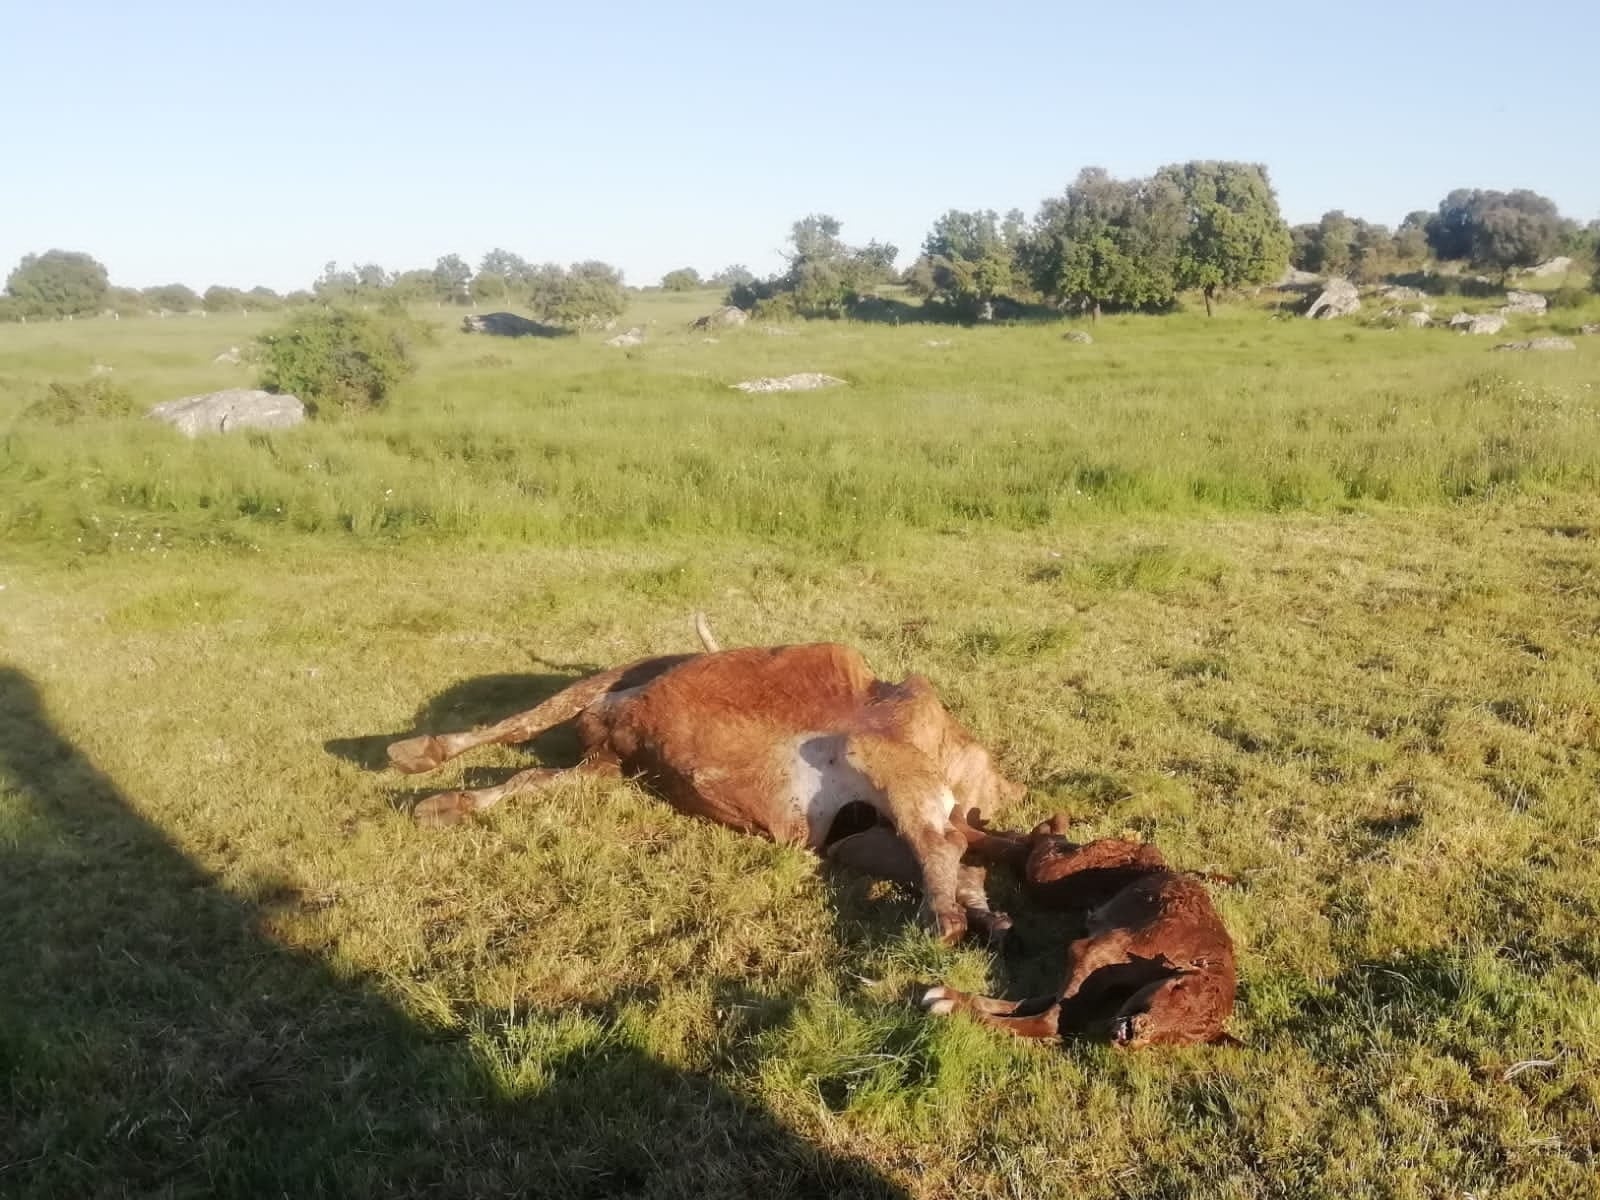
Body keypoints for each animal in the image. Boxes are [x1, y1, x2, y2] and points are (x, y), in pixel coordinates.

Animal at [384, 620, 1024, 947]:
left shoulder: (607, 697)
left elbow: (518, 725)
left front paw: (414, 756)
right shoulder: (608, 762)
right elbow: (529, 777)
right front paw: (444, 799)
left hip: (880, 761)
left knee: (942, 841)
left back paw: (943, 920)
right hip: (858, 835)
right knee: (959, 857)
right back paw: (983, 916)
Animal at [928, 819, 1235, 1049]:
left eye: (1178, 1037)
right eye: (1177, 988)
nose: (1138, 1032)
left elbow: (1038, 1003)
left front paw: (948, 998)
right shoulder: (1096, 950)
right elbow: (1052, 1018)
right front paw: (950, 1007)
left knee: (1021, 847)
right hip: (1061, 871)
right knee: (1035, 844)